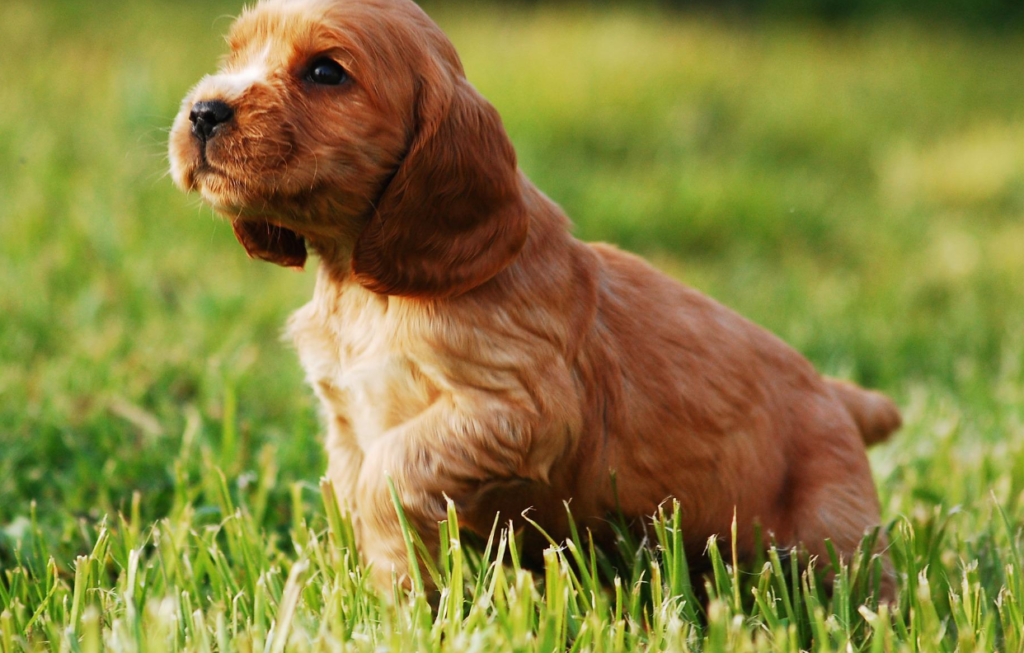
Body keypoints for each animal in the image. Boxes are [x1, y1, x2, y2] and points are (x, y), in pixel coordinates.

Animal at [172, 0, 901, 597]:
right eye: (233, 57)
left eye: (326, 72)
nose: (202, 112)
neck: (364, 289)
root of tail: (839, 395)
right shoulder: (348, 419)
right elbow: (354, 493)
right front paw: (378, 596)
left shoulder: (522, 408)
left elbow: (390, 473)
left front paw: (408, 596)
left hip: (830, 533)